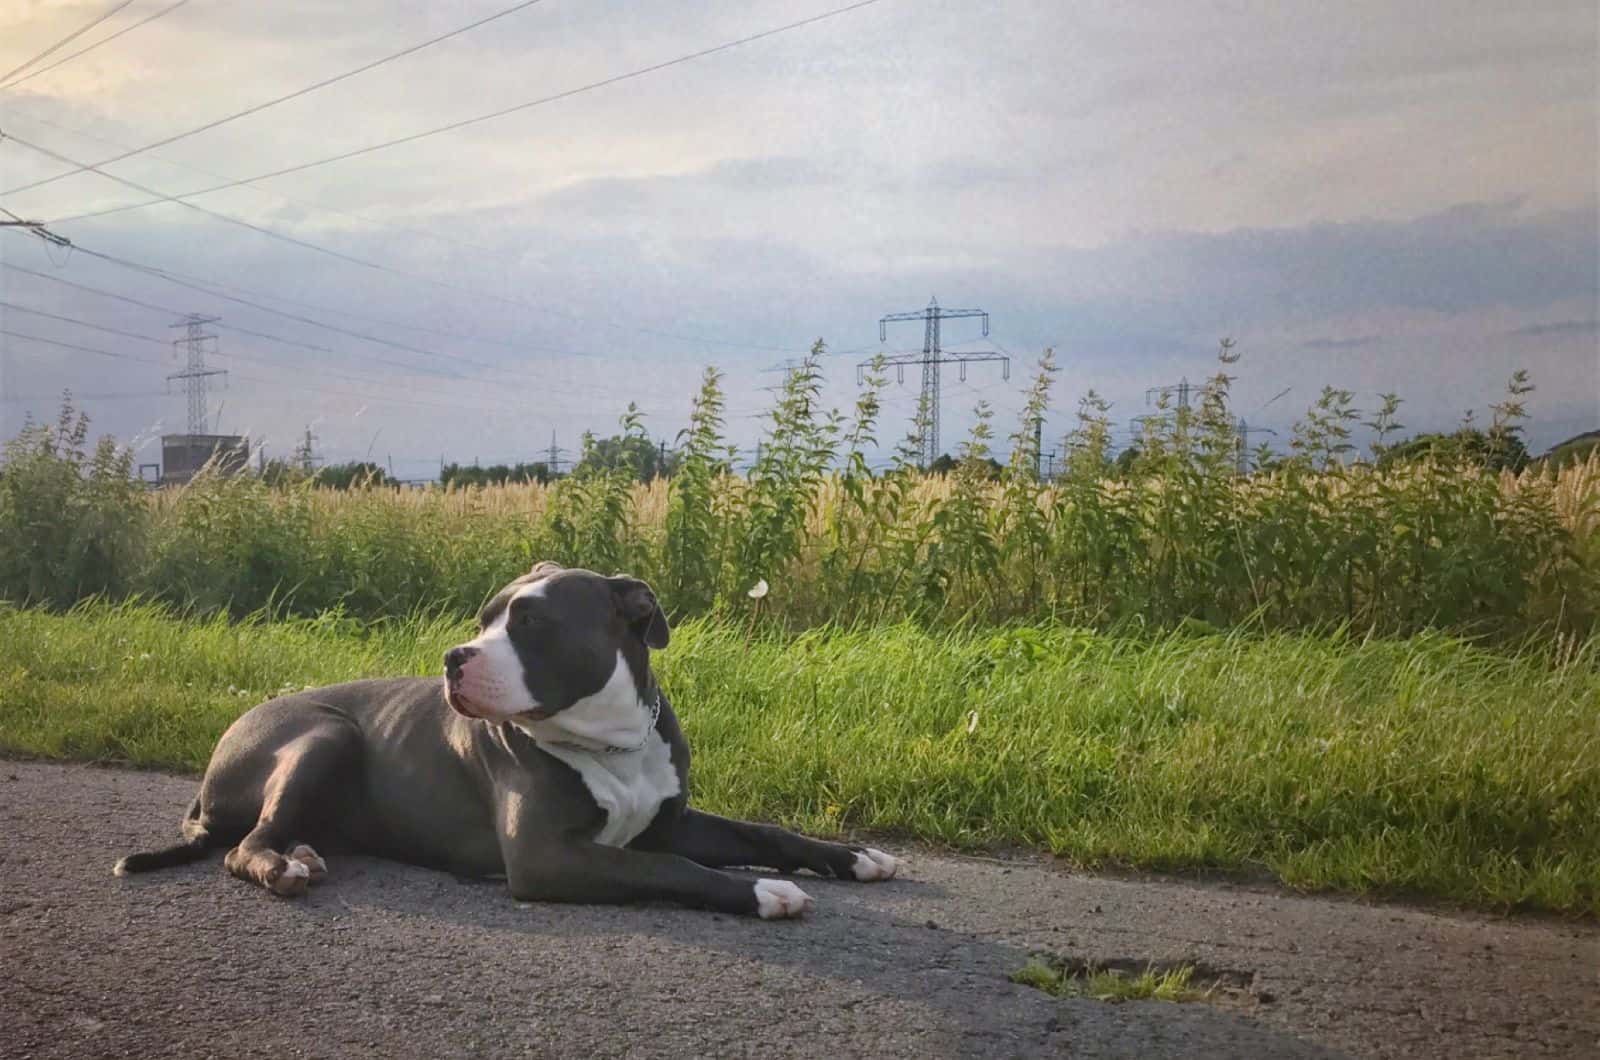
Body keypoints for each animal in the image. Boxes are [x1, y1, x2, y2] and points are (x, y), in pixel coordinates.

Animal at [118, 563, 896, 922]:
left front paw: (854, 857)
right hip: (324, 732)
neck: (609, 740)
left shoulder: (671, 820)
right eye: (484, 618)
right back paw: (283, 865)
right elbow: (669, 870)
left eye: (529, 622)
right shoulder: (548, 856)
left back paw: (304, 851)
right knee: (247, 845)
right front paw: (764, 891)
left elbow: (762, 831)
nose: (452, 657)